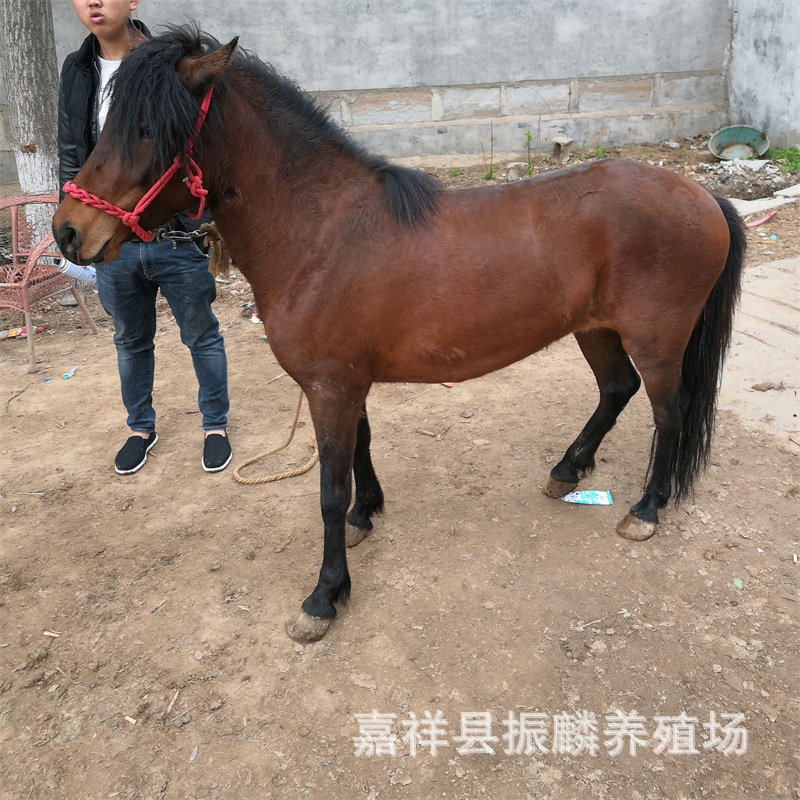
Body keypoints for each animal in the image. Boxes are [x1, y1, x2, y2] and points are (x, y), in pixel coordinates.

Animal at [53, 25, 745, 643]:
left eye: (149, 129)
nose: (67, 231)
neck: (321, 232)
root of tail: (701, 195)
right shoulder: (343, 383)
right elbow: (360, 453)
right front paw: (367, 515)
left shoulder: (331, 386)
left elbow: (329, 492)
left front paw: (324, 596)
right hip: (596, 329)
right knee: (616, 390)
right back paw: (567, 470)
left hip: (657, 341)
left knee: (669, 412)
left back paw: (646, 510)